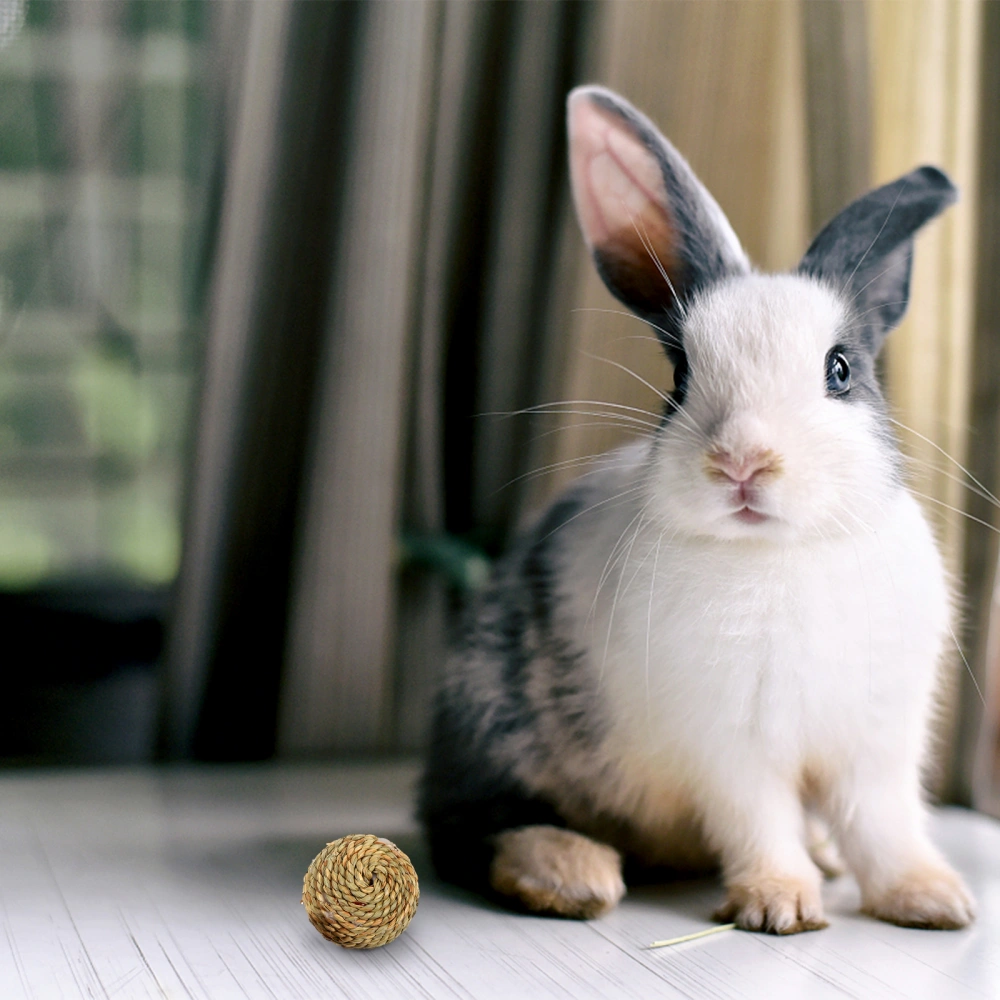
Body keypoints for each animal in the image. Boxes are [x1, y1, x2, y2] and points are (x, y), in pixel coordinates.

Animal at [418, 88, 972, 936]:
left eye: (840, 369)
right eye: (679, 376)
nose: (742, 460)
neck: (782, 553)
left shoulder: (876, 745)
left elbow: (884, 825)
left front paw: (934, 901)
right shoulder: (730, 748)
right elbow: (760, 822)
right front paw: (780, 905)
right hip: (491, 720)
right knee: (468, 826)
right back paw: (570, 872)